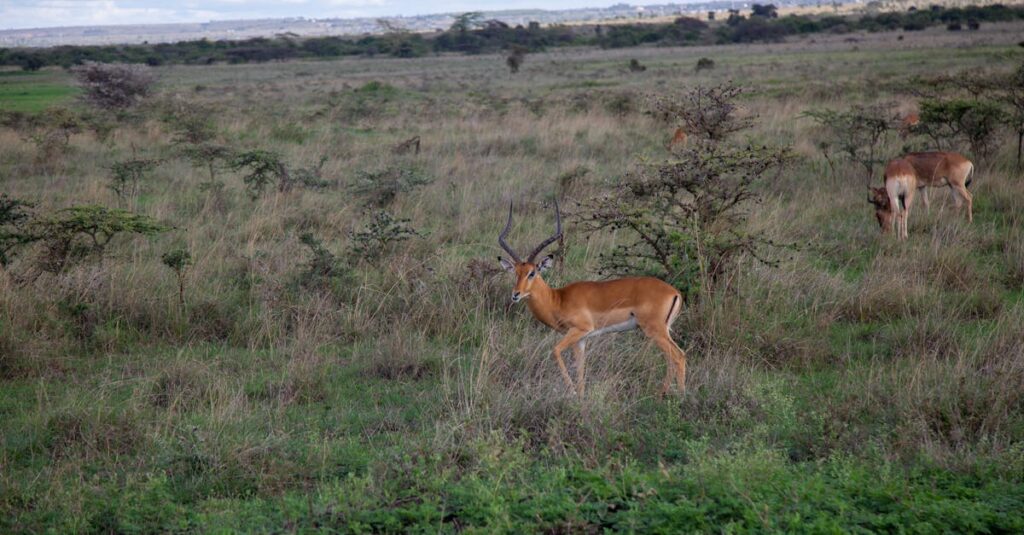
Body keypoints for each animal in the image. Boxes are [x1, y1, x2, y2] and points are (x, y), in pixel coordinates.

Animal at [497, 199, 688, 395]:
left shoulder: (578, 330)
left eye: (532, 273)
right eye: (516, 272)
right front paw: (580, 397)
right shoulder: (581, 339)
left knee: (679, 356)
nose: (516, 294)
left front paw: (572, 392)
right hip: (663, 331)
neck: (558, 299)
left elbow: (556, 351)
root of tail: (674, 292)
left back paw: (679, 397)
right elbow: (580, 370)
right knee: (671, 359)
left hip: (654, 330)